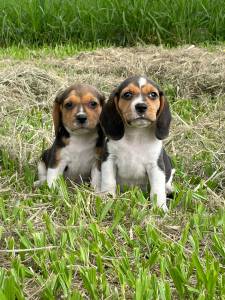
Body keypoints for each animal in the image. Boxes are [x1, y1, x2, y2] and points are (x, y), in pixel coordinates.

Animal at [99, 75, 175, 211]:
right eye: (127, 94)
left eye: (153, 94)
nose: (141, 106)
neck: (136, 134)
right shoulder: (109, 159)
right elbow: (108, 181)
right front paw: (106, 200)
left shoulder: (156, 166)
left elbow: (157, 190)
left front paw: (160, 208)